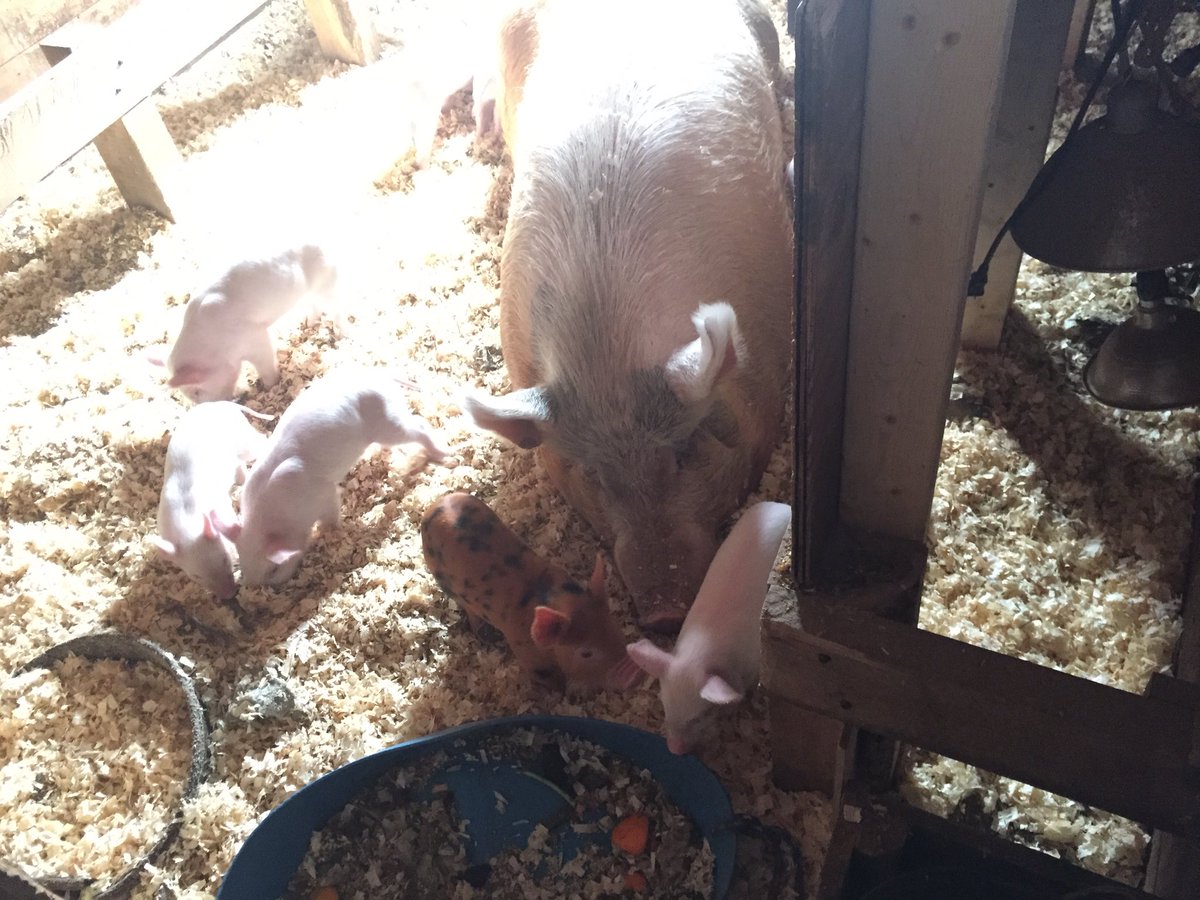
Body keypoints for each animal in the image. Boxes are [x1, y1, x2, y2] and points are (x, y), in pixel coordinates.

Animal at [150, 401, 272, 599]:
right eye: (196, 576)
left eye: (224, 558)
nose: (228, 594)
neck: (189, 525)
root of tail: (219, 404)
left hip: (244, 440)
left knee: (260, 440)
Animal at [225, 369, 448, 587]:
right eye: (243, 565)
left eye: (273, 569)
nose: (265, 588)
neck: (278, 517)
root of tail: (381, 374)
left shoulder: (323, 494)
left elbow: (331, 514)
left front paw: (330, 531)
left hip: (389, 423)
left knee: (419, 426)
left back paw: (444, 454)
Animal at [420, 492, 643, 693]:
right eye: (586, 653)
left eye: (614, 626)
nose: (634, 672)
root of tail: (435, 504)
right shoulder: (527, 655)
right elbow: (550, 681)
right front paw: (563, 693)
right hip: (443, 580)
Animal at [627, 501, 790, 754]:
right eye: (665, 707)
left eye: (699, 716)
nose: (674, 750)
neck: (700, 653)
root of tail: (783, 506)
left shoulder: (754, 661)